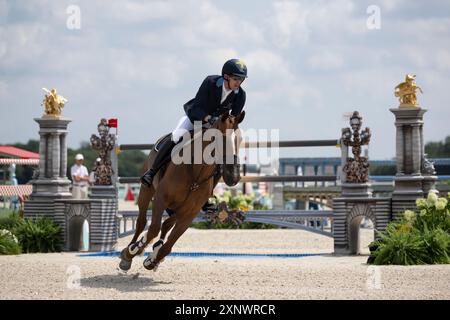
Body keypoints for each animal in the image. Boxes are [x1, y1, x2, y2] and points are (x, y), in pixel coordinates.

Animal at [118, 111, 244, 272]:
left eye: (240, 139)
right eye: (220, 138)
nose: (233, 177)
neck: (196, 174)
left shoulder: (189, 214)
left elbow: (168, 245)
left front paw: (152, 260)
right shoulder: (160, 199)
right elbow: (153, 229)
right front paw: (134, 250)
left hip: (178, 208)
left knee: (166, 224)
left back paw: (153, 250)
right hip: (146, 191)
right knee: (142, 221)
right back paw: (128, 254)